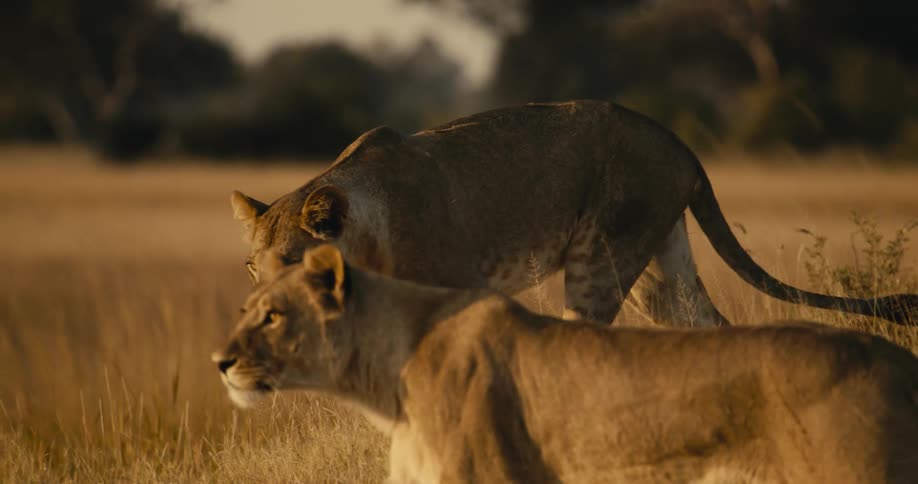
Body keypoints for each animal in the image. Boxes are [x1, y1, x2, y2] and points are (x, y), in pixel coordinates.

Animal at [230, 100, 917, 327]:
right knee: (708, 323)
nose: (258, 306)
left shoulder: (460, 290)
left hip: (602, 259)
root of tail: (678, 142)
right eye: (251, 269)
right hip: (658, 269)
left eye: (293, 261)